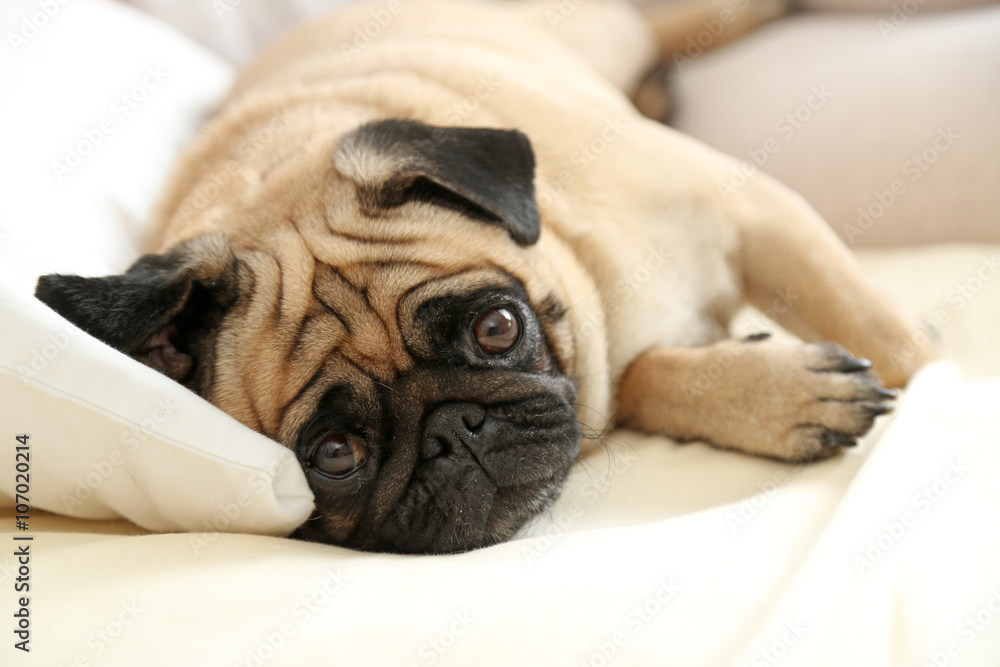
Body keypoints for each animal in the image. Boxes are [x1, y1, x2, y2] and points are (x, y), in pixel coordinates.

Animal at [33, 0, 936, 552]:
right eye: (334, 454)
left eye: (497, 327)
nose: (453, 432)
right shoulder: (611, 373)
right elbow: (646, 379)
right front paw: (780, 393)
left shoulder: (755, 213)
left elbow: (891, 339)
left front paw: (942, 382)